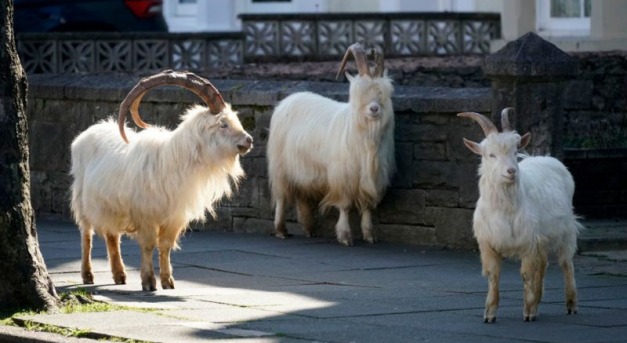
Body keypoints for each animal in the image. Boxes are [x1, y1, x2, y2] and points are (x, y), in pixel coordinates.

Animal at [70, 71, 253, 292]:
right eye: (223, 124)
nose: (249, 141)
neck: (175, 159)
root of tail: (86, 134)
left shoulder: (174, 216)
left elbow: (165, 245)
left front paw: (167, 281)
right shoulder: (146, 214)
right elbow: (149, 244)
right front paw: (149, 282)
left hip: (111, 207)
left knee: (112, 235)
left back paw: (120, 275)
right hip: (82, 200)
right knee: (86, 235)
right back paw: (87, 275)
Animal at [268, 43, 394, 247]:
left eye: (383, 92)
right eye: (359, 92)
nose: (374, 109)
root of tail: (287, 101)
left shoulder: (371, 178)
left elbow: (367, 206)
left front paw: (369, 235)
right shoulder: (342, 177)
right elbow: (345, 206)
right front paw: (345, 236)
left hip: (303, 170)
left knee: (302, 197)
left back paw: (309, 229)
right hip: (280, 167)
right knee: (281, 197)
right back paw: (281, 230)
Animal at [456, 109, 584, 324]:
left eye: (515, 152)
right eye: (491, 154)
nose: (511, 171)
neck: (505, 209)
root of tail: (547, 158)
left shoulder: (529, 242)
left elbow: (527, 275)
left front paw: (528, 311)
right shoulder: (489, 243)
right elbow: (494, 275)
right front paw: (490, 313)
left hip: (566, 230)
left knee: (566, 263)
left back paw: (571, 305)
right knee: (544, 264)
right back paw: (539, 302)